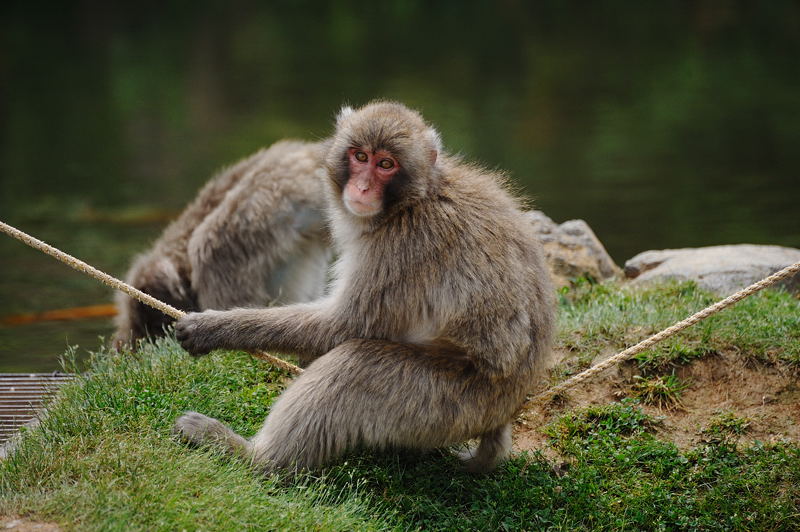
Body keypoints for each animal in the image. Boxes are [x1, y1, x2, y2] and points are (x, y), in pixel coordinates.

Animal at [172, 101, 552, 474]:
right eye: (360, 156)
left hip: (445, 404)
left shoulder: (402, 247)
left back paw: (252, 455)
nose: (363, 188)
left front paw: (214, 327)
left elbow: (345, 326)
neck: (412, 201)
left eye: (386, 164)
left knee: (355, 364)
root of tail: (503, 409)